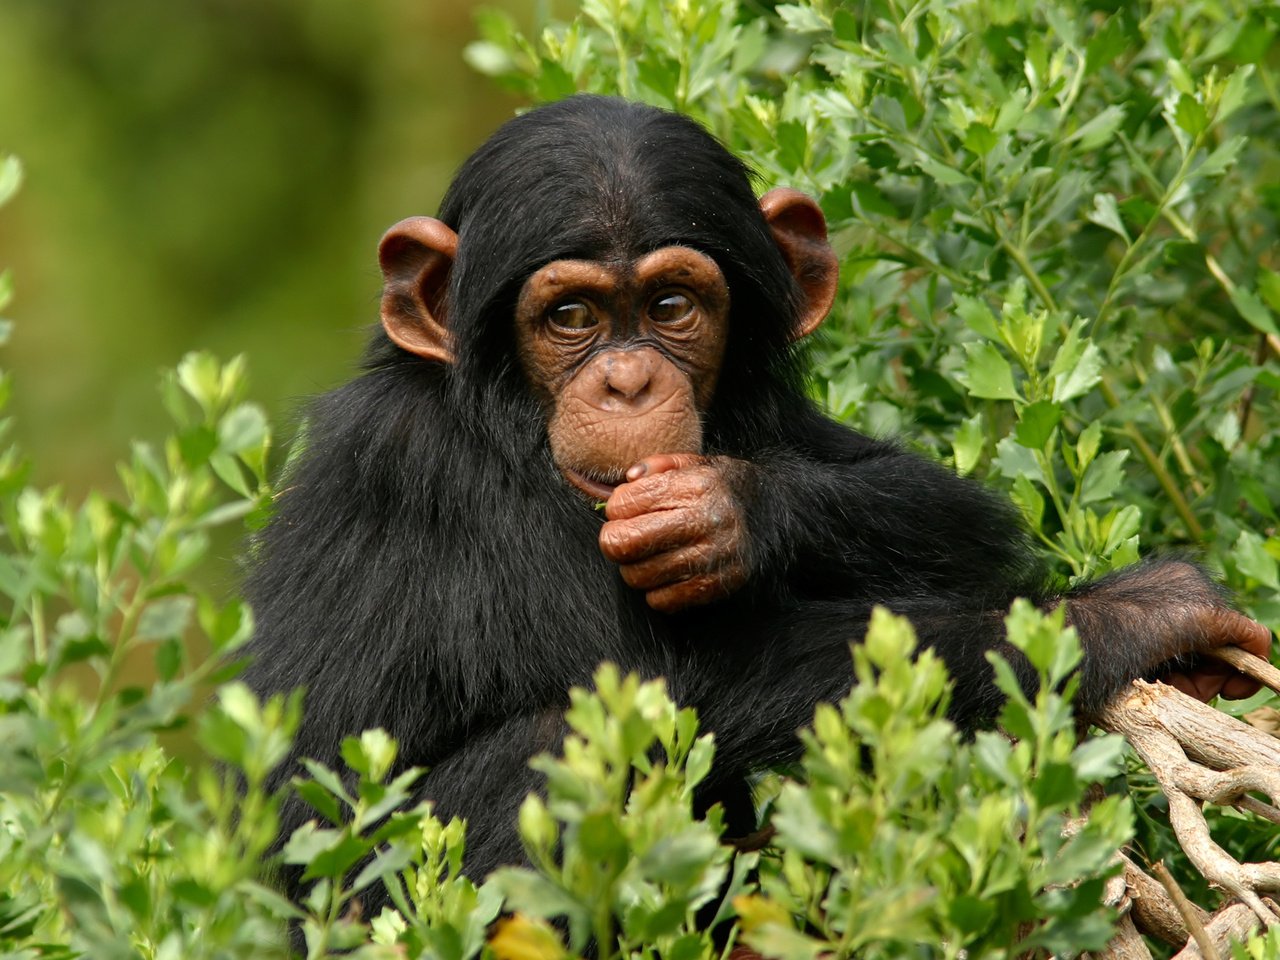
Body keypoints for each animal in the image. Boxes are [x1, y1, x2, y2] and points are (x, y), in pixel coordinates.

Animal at [238, 96, 1269, 911]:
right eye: (570, 317)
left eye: (670, 305)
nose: (625, 382)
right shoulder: (431, 474)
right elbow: (653, 685)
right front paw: (1133, 615)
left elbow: (950, 515)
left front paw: (728, 513)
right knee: (564, 742)